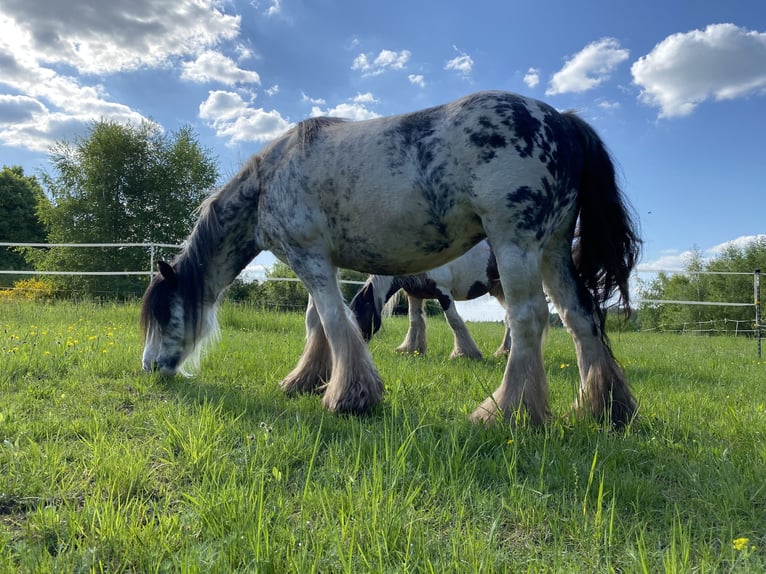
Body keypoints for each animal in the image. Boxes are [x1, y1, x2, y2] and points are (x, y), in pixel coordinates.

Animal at [352, 240, 512, 360]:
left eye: (359, 315)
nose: (357, 347)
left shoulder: (443, 291)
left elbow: (453, 320)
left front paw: (464, 353)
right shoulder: (415, 295)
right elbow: (415, 321)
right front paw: (410, 349)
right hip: (499, 289)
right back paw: (504, 352)